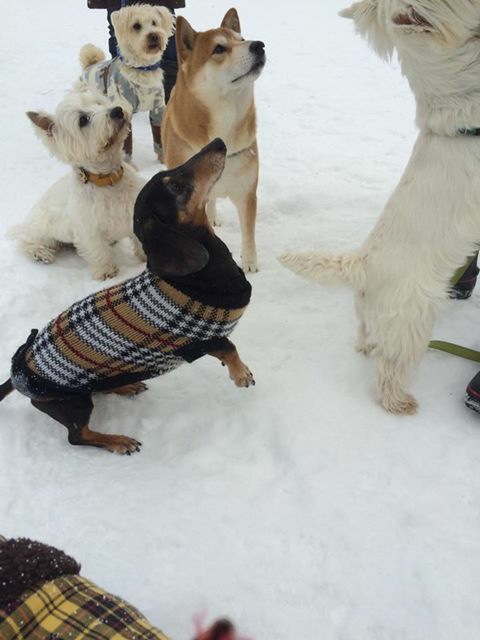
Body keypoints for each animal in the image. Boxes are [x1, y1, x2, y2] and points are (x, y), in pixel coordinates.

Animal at [10, 87, 144, 280]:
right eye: (83, 120)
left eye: (98, 103)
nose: (117, 111)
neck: (107, 180)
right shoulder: (88, 227)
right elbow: (98, 250)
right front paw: (106, 271)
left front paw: (145, 257)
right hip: (42, 230)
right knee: (26, 242)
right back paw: (40, 254)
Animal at [79, 4, 174, 162]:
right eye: (136, 26)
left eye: (154, 23)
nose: (154, 35)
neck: (141, 69)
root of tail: (89, 66)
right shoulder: (123, 109)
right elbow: (126, 145)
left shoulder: (157, 108)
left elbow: (159, 136)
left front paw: (163, 160)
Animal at [161, 8, 266, 272]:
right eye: (219, 49)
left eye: (242, 39)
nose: (259, 45)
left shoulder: (247, 192)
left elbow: (248, 233)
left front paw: (250, 262)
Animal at [282, 0, 480, 416]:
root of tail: (361, 265)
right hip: (411, 318)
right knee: (391, 368)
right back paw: (402, 403)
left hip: (375, 314)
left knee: (367, 337)